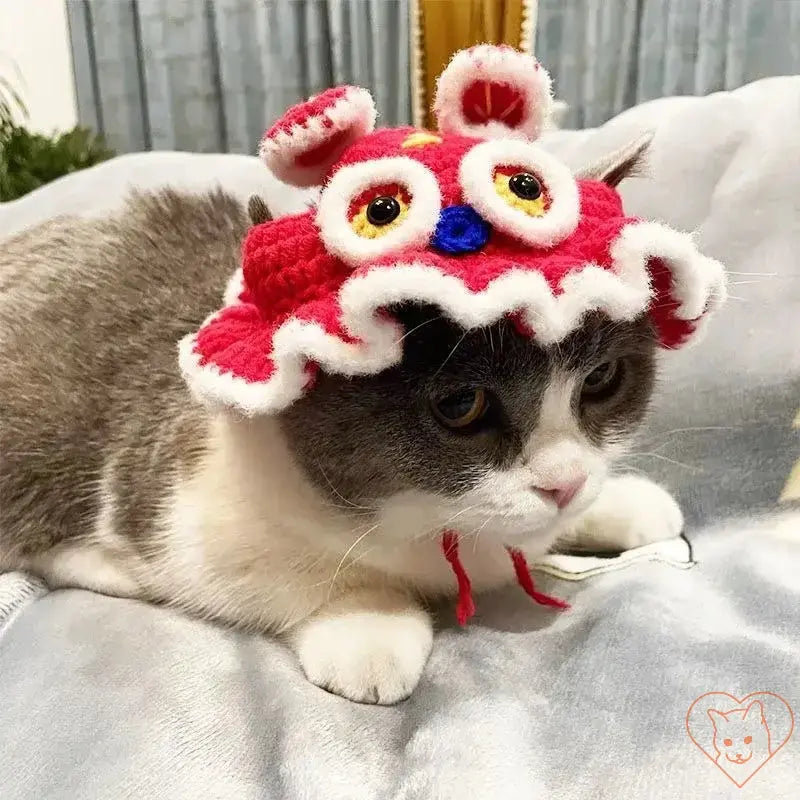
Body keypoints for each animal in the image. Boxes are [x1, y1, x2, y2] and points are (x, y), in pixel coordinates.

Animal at [0, 152, 680, 708]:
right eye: (462, 404)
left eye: (602, 379)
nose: (563, 483)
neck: (430, 522)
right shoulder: (179, 501)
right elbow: (283, 576)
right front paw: (369, 625)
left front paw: (618, 501)